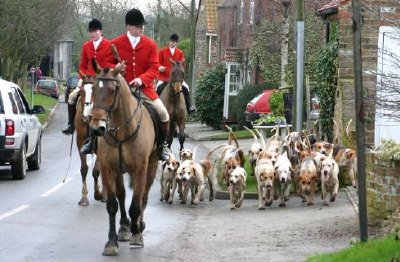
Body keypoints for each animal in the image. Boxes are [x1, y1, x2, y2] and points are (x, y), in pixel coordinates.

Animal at [90, 61, 159, 256]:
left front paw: (137, 232)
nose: (97, 128)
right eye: (92, 88)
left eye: (112, 90)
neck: (121, 131)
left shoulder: (140, 169)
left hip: (152, 165)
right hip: (119, 171)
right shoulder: (107, 169)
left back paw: (137, 226)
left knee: (144, 196)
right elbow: (112, 204)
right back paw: (124, 228)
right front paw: (111, 242)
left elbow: (136, 204)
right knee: (121, 195)